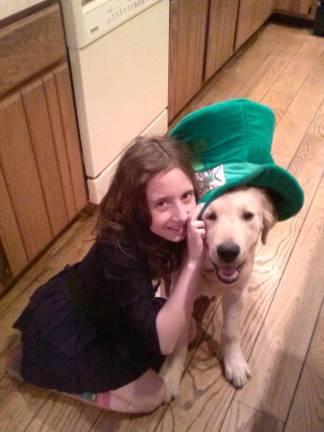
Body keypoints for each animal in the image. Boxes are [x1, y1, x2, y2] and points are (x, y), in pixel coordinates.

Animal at [159, 186, 276, 402]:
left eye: (248, 215)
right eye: (210, 216)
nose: (228, 251)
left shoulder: (237, 293)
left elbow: (231, 331)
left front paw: (235, 364)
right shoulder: (182, 299)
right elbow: (178, 342)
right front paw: (170, 375)